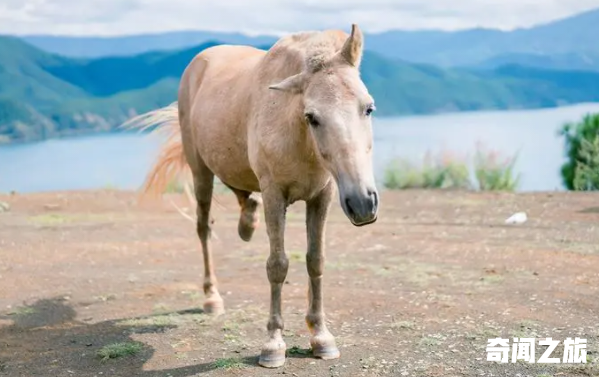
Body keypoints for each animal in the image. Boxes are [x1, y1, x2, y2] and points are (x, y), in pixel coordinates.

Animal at [126, 22, 380, 368]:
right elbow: (277, 265)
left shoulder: (323, 196)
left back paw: (247, 223)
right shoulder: (274, 194)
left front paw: (321, 336)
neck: (299, 137)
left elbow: (315, 261)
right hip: (200, 172)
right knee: (204, 228)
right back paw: (212, 297)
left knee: (242, 194)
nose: (363, 202)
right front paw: (273, 344)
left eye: (368, 108)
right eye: (312, 117)